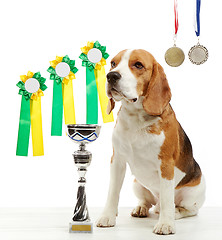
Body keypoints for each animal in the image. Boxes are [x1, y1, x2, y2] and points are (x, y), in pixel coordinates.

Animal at [96, 49, 206, 234]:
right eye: (113, 63)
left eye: (138, 65)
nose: (111, 76)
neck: (136, 118)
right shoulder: (117, 161)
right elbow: (113, 192)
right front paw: (107, 216)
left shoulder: (166, 165)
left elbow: (168, 198)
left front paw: (166, 224)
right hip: (137, 184)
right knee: (149, 202)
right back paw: (141, 208)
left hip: (193, 194)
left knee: (186, 208)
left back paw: (175, 213)